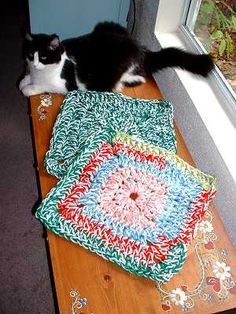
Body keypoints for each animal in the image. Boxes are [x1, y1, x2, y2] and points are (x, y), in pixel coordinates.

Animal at [18, 21, 214, 96]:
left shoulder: (66, 85)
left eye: (44, 57)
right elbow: (27, 79)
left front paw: (28, 88)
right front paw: (24, 81)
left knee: (139, 77)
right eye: (31, 55)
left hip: (119, 68)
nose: (35, 65)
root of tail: (142, 48)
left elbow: (42, 86)